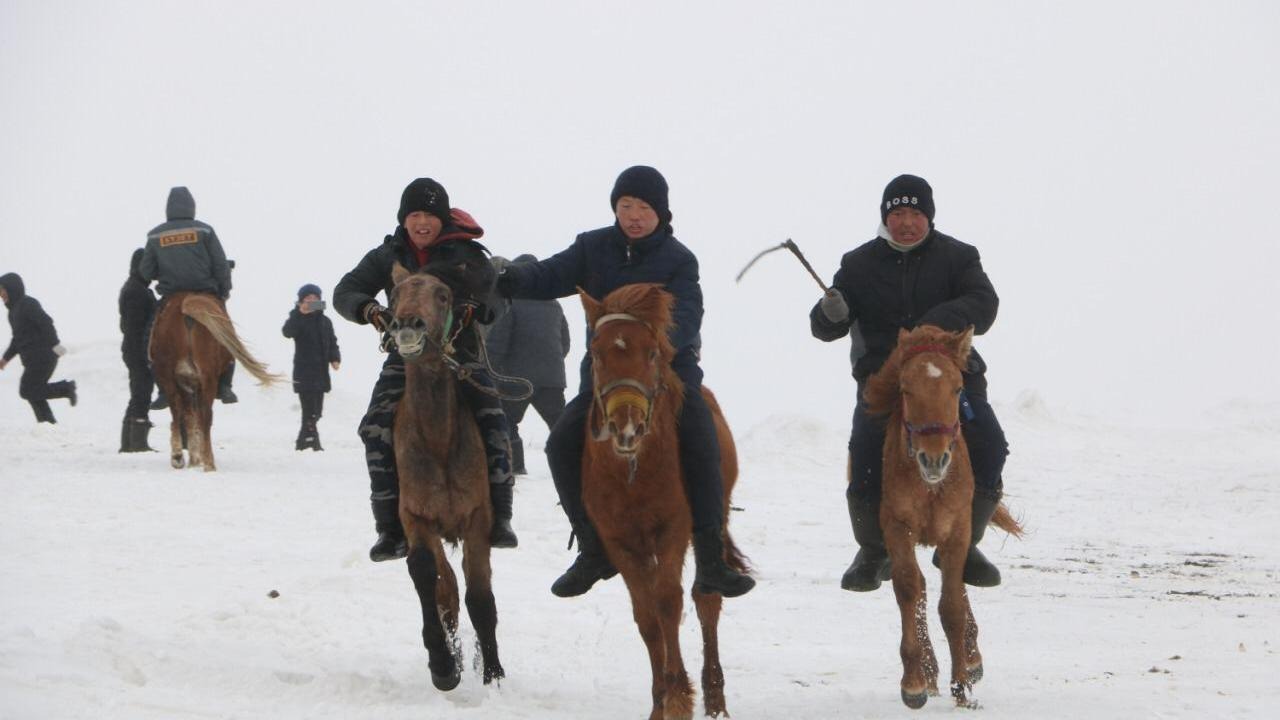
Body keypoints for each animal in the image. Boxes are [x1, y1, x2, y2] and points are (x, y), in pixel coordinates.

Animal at [148, 292, 281, 471]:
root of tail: (186, 305)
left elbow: (190, 416)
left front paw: (194, 458)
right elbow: (192, 417)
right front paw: (196, 458)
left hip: (174, 377)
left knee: (181, 413)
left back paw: (181, 457)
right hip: (201, 378)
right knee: (201, 415)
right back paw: (205, 461)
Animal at [384, 263, 499, 691]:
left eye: (443, 294)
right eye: (395, 294)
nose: (408, 325)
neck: (438, 441)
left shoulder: (478, 518)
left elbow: (480, 595)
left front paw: (494, 674)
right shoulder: (416, 516)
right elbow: (426, 578)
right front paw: (443, 665)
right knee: (446, 588)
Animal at [578, 283, 747, 717]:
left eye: (652, 352)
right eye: (596, 353)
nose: (627, 426)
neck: (633, 470)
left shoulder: (672, 531)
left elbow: (669, 604)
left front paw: (678, 696)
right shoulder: (621, 543)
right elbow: (647, 616)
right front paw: (660, 701)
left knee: (707, 599)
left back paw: (715, 697)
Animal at [860, 325, 1018, 707]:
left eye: (957, 388)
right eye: (905, 389)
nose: (934, 459)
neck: (930, 485)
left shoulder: (956, 532)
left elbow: (952, 606)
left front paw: (962, 687)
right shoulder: (898, 529)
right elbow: (909, 590)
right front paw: (914, 683)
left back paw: (971, 661)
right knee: (919, 588)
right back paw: (931, 672)